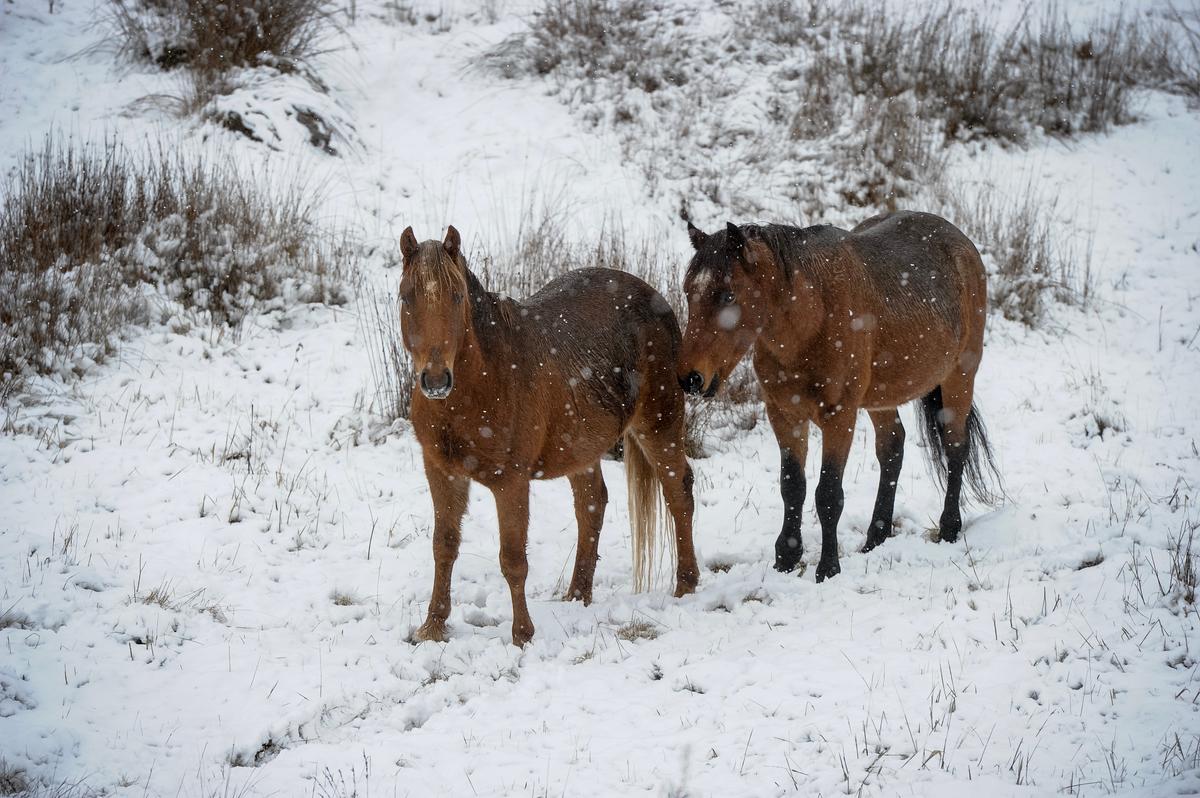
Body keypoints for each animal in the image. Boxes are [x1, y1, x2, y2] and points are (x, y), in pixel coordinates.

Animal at [399, 225, 699, 646]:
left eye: (457, 297)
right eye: (405, 297)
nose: (436, 379)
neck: (482, 382)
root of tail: (655, 297)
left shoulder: (510, 482)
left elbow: (512, 559)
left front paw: (522, 635)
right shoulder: (441, 472)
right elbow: (444, 546)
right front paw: (433, 627)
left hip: (658, 424)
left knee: (678, 492)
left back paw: (685, 585)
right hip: (582, 447)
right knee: (592, 504)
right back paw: (577, 596)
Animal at [677, 211, 1000, 582]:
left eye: (728, 296)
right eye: (689, 293)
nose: (689, 377)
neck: (811, 318)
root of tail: (962, 241)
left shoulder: (839, 416)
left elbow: (828, 493)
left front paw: (828, 567)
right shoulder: (784, 415)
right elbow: (792, 486)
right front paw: (786, 558)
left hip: (959, 376)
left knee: (955, 447)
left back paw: (949, 528)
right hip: (882, 397)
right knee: (893, 448)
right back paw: (875, 537)